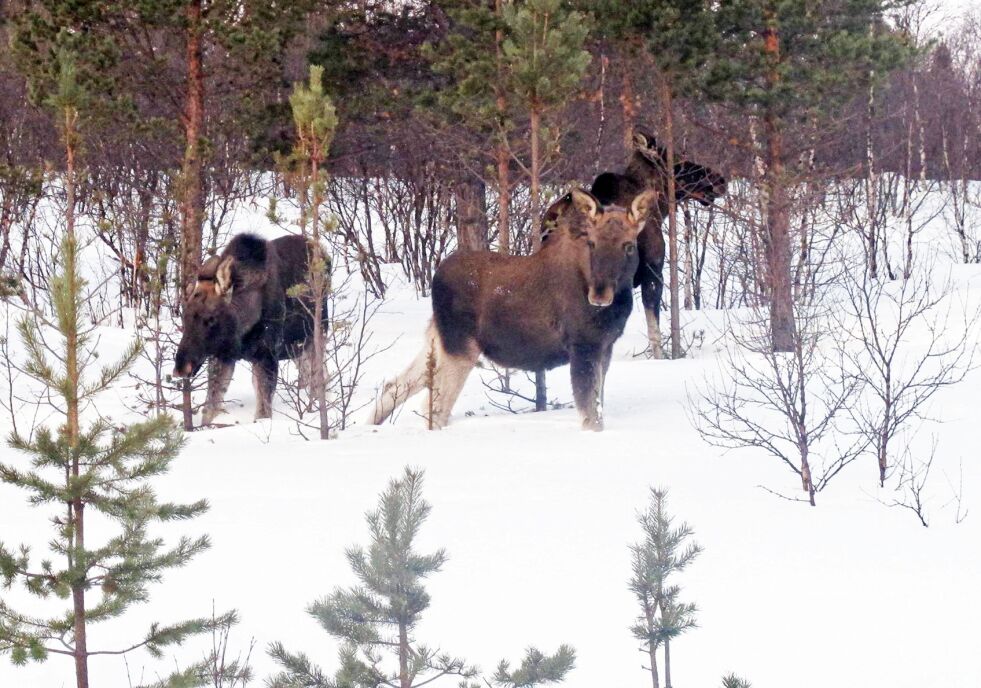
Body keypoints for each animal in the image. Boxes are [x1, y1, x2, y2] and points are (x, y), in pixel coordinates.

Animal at [173, 234, 330, 422]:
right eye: (185, 316)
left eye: (211, 319)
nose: (181, 366)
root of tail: (325, 255)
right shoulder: (224, 355)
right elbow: (210, 407)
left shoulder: (267, 355)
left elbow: (263, 411)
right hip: (295, 347)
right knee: (307, 374)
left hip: (317, 333)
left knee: (320, 376)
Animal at [368, 189, 660, 430]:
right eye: (592, 243)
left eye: (629, 245)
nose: (599, 295)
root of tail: (435, 278)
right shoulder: (583, 345)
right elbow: (591, 415)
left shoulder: (604, 347)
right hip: (460, 347)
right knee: (435, 406)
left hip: (437, 339)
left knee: (396, 385)